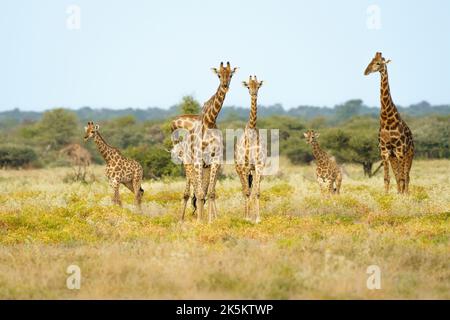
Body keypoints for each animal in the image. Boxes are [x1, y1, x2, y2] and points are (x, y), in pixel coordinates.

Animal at [171, 62, 237, 222]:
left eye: (231, 74)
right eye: (218, 74)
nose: (225, 86)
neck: (210, 122)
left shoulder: (215, 160)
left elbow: (210, 193)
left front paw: (212, 220)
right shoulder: (198, 161)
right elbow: (200, 193)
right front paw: (200, 221)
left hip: (205, 166)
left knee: (203, 191)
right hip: (189, 164)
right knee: (190, 192)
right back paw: (181, 219)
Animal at [364, 51, 414, 194]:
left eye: (378, 63)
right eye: (370, 61)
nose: (366, 71)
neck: (387, 120)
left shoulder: (400, 150)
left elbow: (402, 177)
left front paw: (402, 197)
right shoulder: (385, 151)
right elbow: (387, 178)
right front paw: (386, 196)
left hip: (409, 154)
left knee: (406, 176)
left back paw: (406, 194)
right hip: (393, 157)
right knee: (399, 176)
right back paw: (399, 192)